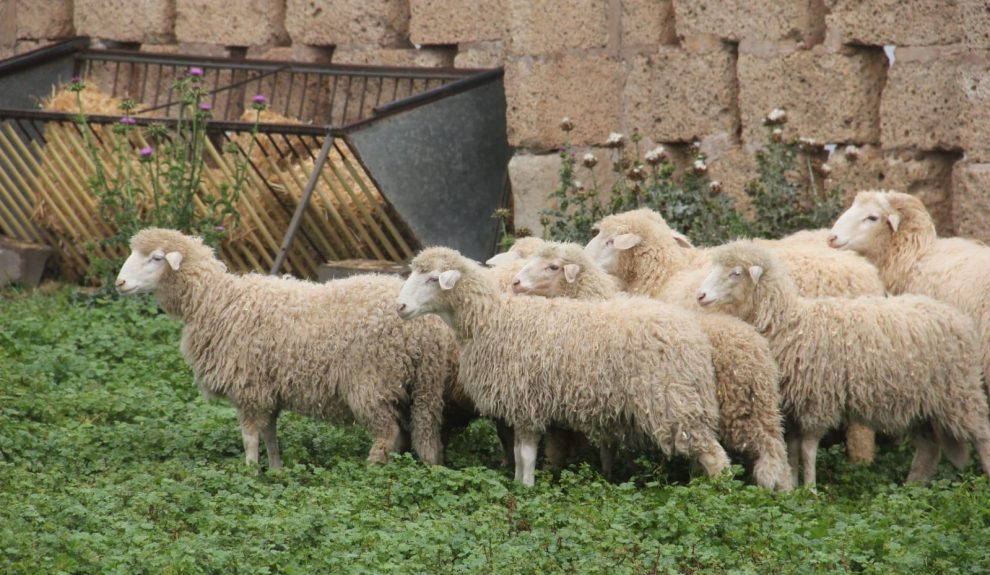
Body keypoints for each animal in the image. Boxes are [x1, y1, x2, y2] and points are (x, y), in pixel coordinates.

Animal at [115, 228, 462, 468]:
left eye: (156, 258)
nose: (119, 283)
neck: (217, 302)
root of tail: (429, 330)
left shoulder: (249, 387)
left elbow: (249, 438)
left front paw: (250, 473)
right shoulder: (268, 390)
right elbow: (270, 435)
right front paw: (275, 469)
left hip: (372, 380)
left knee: (388, 433)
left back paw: (370, 470)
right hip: (423, 384)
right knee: (423, 434)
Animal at [400, 246, 732, 486]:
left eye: (432, 279)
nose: (400, 307)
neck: (492, 319)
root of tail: (694, 335)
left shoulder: (525, 402)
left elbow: (525, 455)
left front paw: (527, 489)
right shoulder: (522, 406)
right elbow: (519, 455)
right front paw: (518, 485)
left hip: (672, 400)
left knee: (715, 456)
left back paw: (717, 494)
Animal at [516, 242, 796, 490]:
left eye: (553, 266)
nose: (515, 283)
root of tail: (756, 346)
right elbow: (606, 447)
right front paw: (610, 473)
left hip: (709, 405)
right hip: (756, 407)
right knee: (776, 450)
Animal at [692, 241, 990, 488]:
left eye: (735, 273)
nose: (701, 296)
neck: (790, 323)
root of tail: (957, 317)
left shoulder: (817, 401)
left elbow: (808, 449)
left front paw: (810, 490)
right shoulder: (795, 405)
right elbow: (792, 449)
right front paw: (793, 486)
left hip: (959, 392)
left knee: (982, 433)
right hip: (922, 401)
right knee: (929, 448)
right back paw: (912, 488)